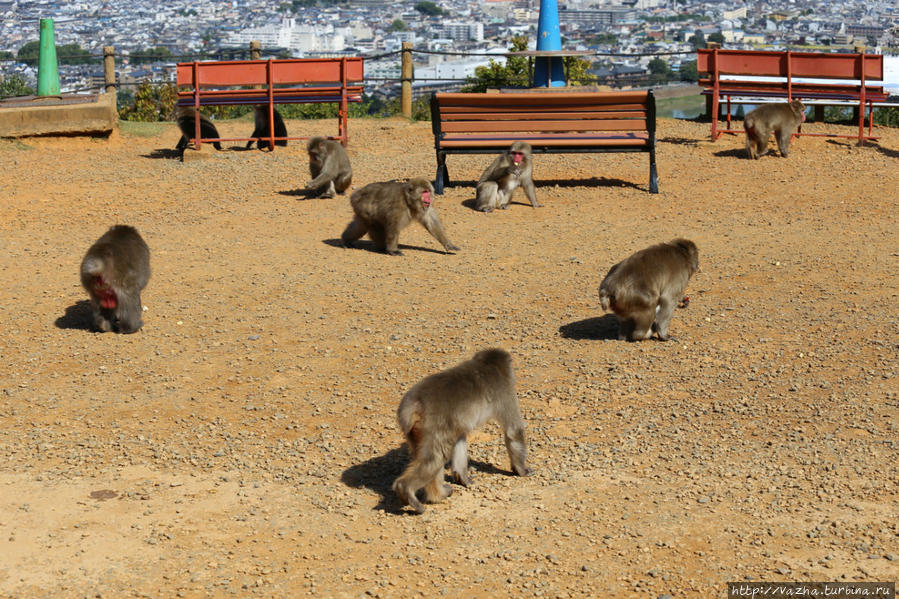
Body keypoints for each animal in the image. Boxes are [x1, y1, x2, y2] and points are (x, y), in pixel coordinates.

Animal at [396, 350, 536, 512]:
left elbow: (460, 439)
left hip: (416, 431)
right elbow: (513, 431)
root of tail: (413, 404)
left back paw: (438, 495)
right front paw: (521, 470)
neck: (486, 364)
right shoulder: (505, 390)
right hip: (433, 423)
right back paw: (407, 489)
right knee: (436, 456)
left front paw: (463, 478)